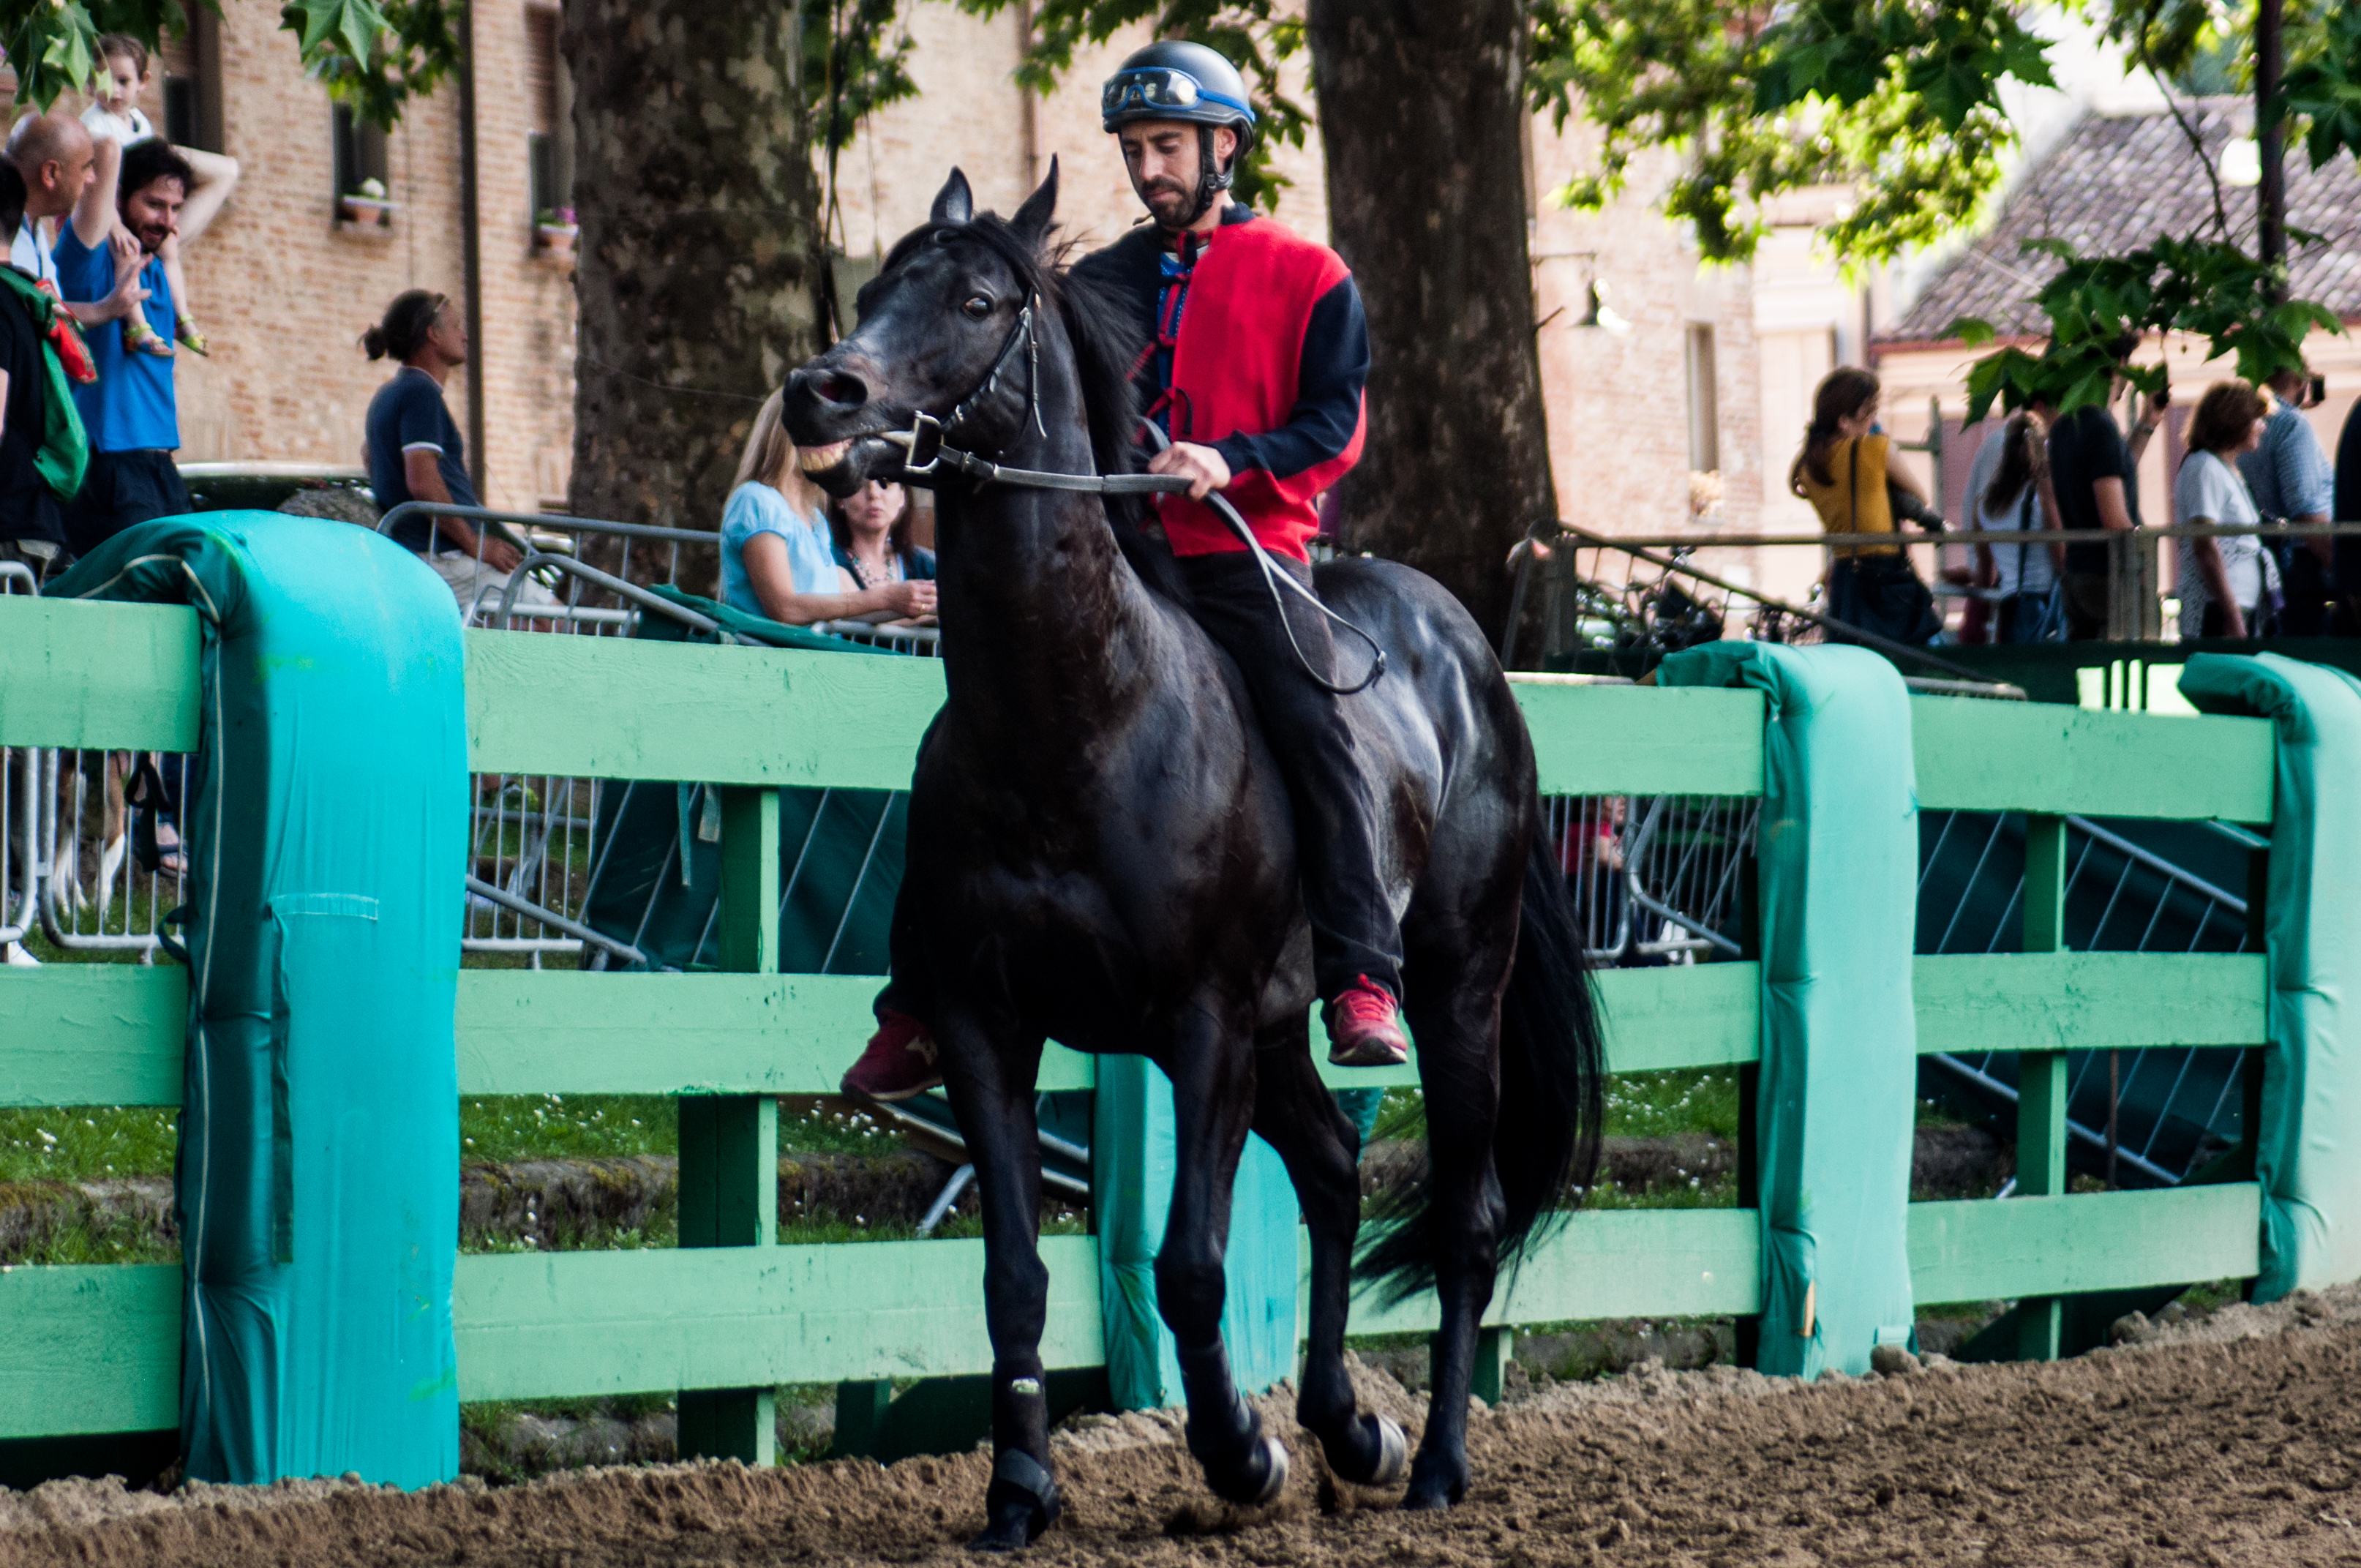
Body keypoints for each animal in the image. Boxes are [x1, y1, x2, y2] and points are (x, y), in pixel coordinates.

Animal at [784, 165, 1596, 1549]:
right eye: (877, 282)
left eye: (977, 299)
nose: (820, 389)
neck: (1078, 722)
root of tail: (1470, 648)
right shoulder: (988, 1024)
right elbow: (1014, 1273)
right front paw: (1019, 1487)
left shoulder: (1200, 1023)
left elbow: (1190, 1265)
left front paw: (1238, 1454)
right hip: (1278, 1033)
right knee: (1331, 1169)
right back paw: (1348, 1424)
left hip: (1452, 987)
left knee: (1465, 1218)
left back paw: (1429, 1459)